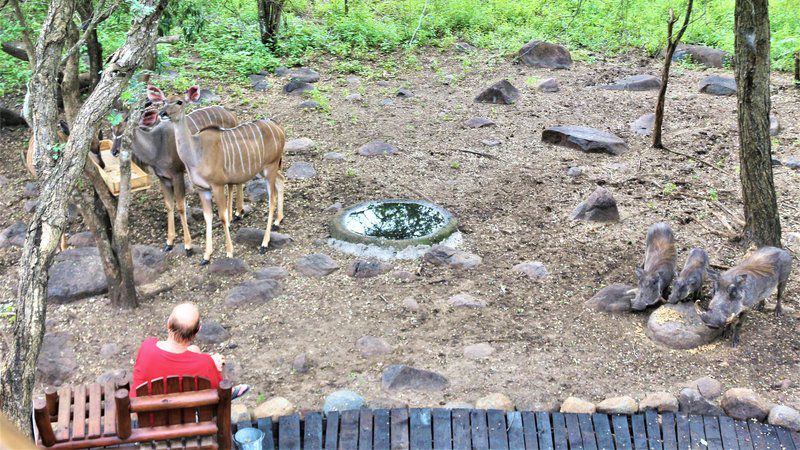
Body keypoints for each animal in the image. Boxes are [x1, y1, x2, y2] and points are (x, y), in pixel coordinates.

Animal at [111, 103, 239, 256]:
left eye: (126, 129)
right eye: (112, 129)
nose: (114, 151)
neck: (156, 147)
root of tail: (232, 115)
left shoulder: (177, 174)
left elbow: (180, 207)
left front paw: (188, 246)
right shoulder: (163, 178)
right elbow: (168, 205)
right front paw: (169, 242)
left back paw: (238, 214)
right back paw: (232, 217)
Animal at [148, 86, 286, 266]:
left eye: (179, 101)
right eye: (164, 101)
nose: (163, 113)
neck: (196, 153)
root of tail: (279, 128)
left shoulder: (217, 185)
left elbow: (222, 216)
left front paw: (229, 252)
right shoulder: (202, 188)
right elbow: (208, 217)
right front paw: (206, 256)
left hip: (270, 167)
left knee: (272, 200)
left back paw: (264, 243)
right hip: (267, 169)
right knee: (281, 180)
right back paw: (277, 222)